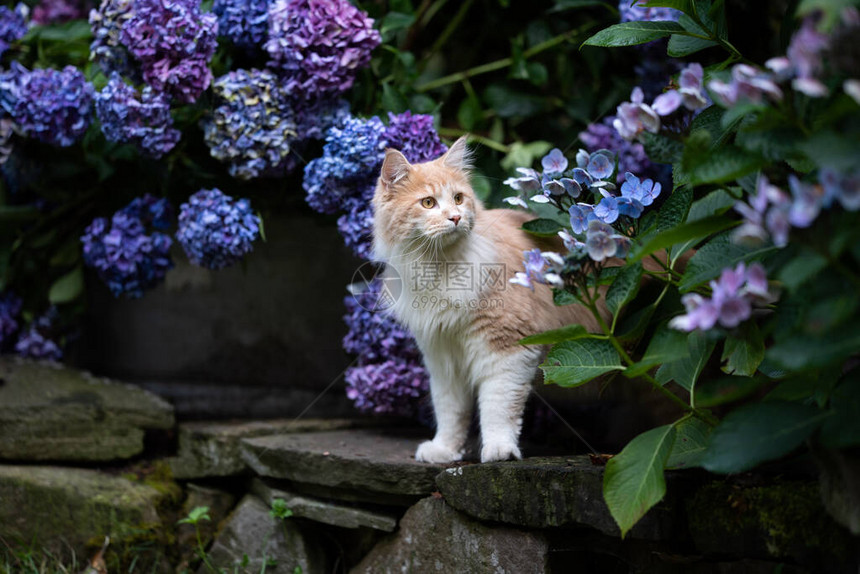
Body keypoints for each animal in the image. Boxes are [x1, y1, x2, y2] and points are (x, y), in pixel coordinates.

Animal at [372, 137, 600, 466]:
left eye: (458, 198)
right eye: (428, 203)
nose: (455, 218)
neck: (439, 265)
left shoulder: (507, 348)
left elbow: (497, 407)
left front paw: (500, 450)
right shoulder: (442, 357)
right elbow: (450, 411)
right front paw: (445, 450)